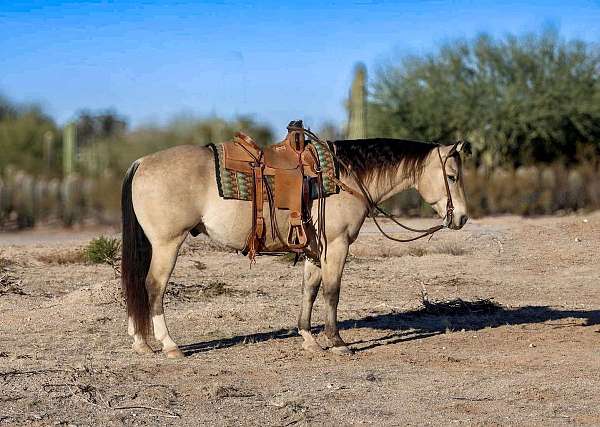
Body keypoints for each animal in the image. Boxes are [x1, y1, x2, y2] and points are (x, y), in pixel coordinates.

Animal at [120, 126, 468, 358]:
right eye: (452, 177)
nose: (462, 218)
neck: (344, 177)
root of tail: (141, 162)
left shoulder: (315, 250)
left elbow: (309, 291)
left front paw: (309, 338)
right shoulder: (337, 245)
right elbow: (332, 292)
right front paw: (337, 342)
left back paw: (140, 342)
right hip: (168, 244)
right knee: (153, 286)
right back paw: (169, 346)